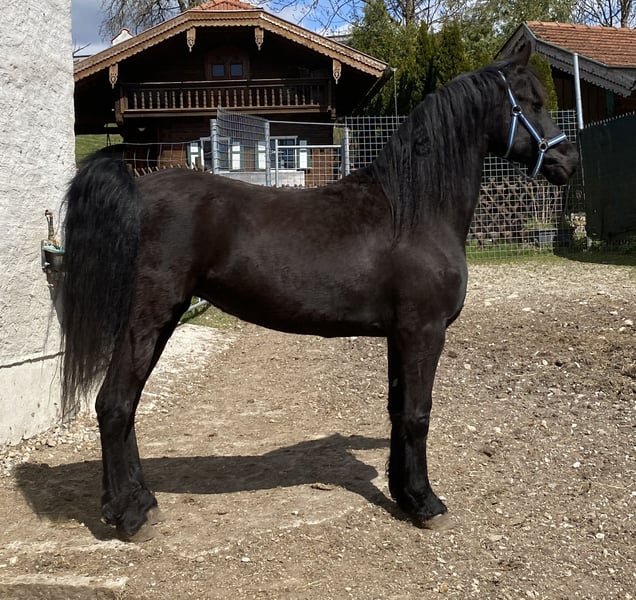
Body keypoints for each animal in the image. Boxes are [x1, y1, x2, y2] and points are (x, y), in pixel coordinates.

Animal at [59, 44, 578, 541]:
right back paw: (131, 516)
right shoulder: (423, 331)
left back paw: (135, 503)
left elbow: (396, 409)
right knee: (114, 405)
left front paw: (404, 495)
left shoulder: (399, 335)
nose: (568, 160)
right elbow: (417, 414)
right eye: (532, 102)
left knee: (124, 409)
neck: (412, 212)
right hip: (147, 319)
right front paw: (427, 504)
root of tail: (138, 192)